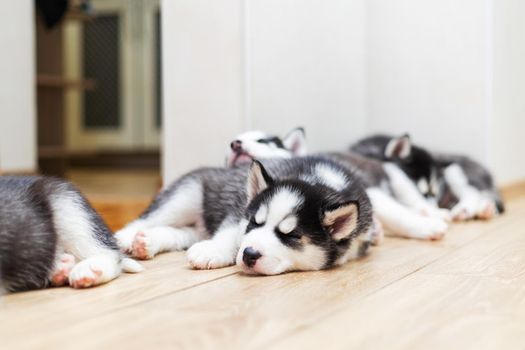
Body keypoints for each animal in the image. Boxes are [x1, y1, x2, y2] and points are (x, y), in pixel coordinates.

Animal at [115, 157, 376, 274]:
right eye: (254, 223)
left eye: (292, 236)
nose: (249, 254)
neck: (319, 180)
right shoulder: (238, 211)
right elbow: (231, 234)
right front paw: (215, 250)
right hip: (185, 195)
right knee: (147, 219)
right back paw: (126, 238)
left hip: (195, 226)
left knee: (180, 233)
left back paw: (147, 242)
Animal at [223, 128, 448, 241]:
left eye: (263, 141)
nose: (234, 144)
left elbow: (397, 213)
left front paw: (425, 226)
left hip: (396, 175)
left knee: (414, 199)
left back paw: (434, 212)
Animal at [352, 135, 504, 220]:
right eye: (424, 193)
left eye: (434, 194)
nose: (435, 206)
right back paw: (485, 210)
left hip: (454, 171)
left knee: (472, 192)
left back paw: (466, 210)